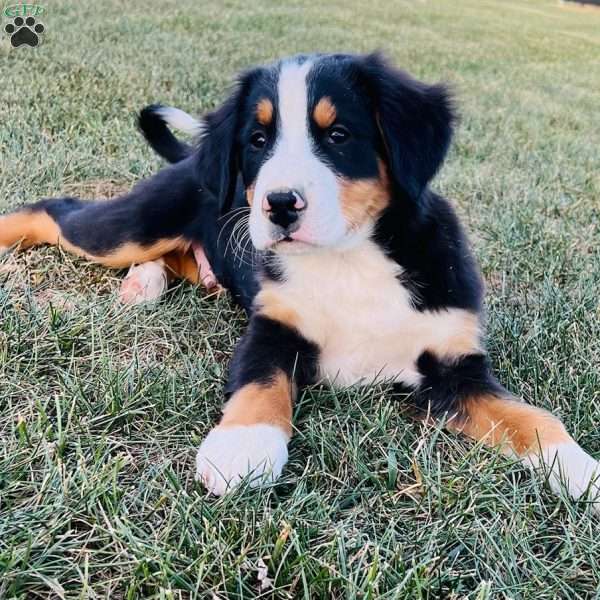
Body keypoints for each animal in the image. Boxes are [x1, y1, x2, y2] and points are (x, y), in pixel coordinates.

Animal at [1, 52, 600, 510]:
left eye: (338, 135)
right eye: (258, 140)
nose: (280, 204)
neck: (348, 259)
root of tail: (193, 157)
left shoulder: (457, 367)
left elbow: (534, 418)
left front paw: (581, 471)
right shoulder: (273, 327)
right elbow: (261, 384)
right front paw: (243, 447)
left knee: (177, 259)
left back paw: (144, 284)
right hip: (130, 228)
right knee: (56, 211)